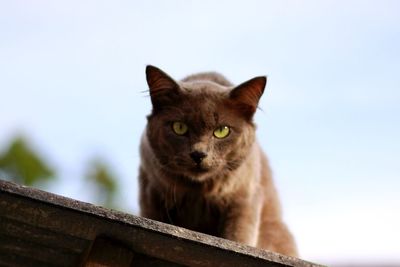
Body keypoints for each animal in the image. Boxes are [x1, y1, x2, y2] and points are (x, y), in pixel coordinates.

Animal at [138, 65, 296, 258]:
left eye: (222, 130)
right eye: (179, 127)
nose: (198, 154)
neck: (198, 193)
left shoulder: (245, 197)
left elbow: (237, 238)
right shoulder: (150, 191)